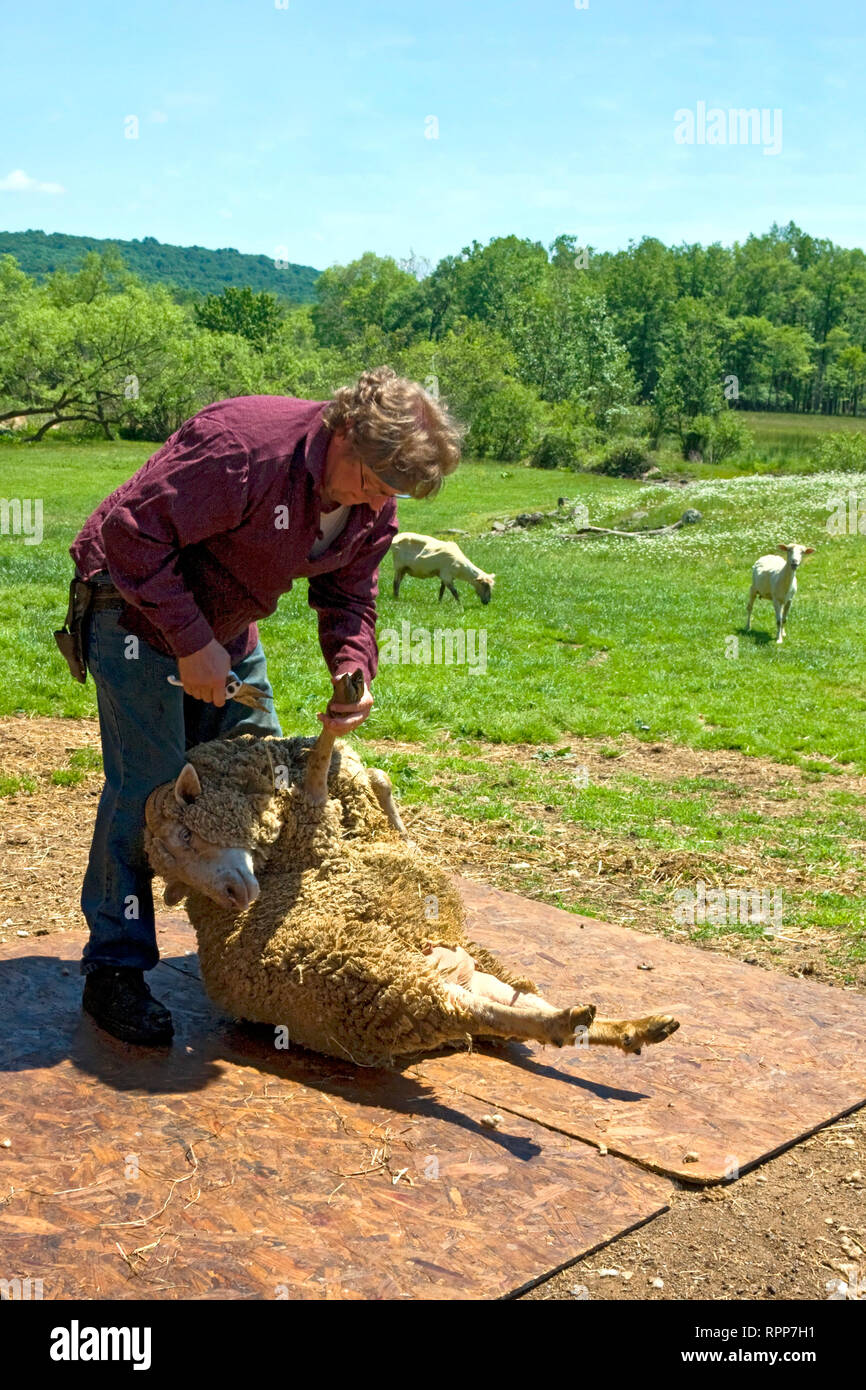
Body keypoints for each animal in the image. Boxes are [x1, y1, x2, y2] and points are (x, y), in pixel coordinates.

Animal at [143, 735, 679, 1067]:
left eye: (186, 834)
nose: (236, 899)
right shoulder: (313, 826)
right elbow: (325, 767)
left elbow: (375, 781)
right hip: (388, 984)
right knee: (484, 1014)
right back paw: (566, 1021)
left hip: (464, 977)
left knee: (510, 1005)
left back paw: (635, 1029)